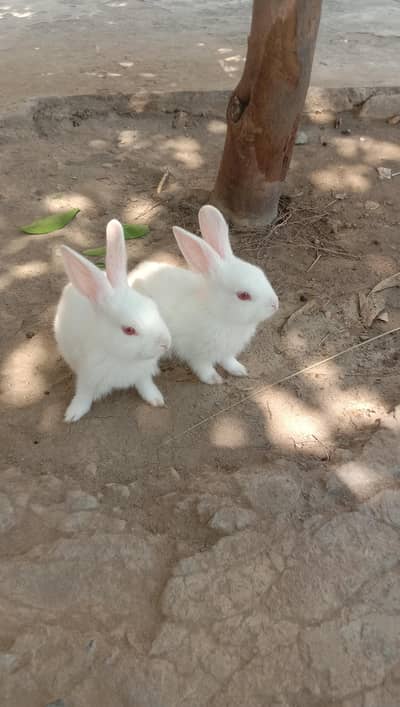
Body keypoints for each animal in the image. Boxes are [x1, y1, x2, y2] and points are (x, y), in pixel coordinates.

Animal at [54, 219, 171, 422]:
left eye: (153, 305)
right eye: (129, 330)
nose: (166, 343)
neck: (121, 357)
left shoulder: (142, 374)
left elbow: (145, 385)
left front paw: (156, 399)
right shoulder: (87, 376)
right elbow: (83, 394)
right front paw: (73, 414)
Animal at [129, 204, 279, 385]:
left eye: (260, 272)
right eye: (243, 295)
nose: (275, 304)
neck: (217, 313)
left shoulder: (227, 351)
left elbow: (228, 360)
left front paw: (239, 370)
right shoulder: (198, 353)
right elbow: (203, 366)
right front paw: (214, 379)